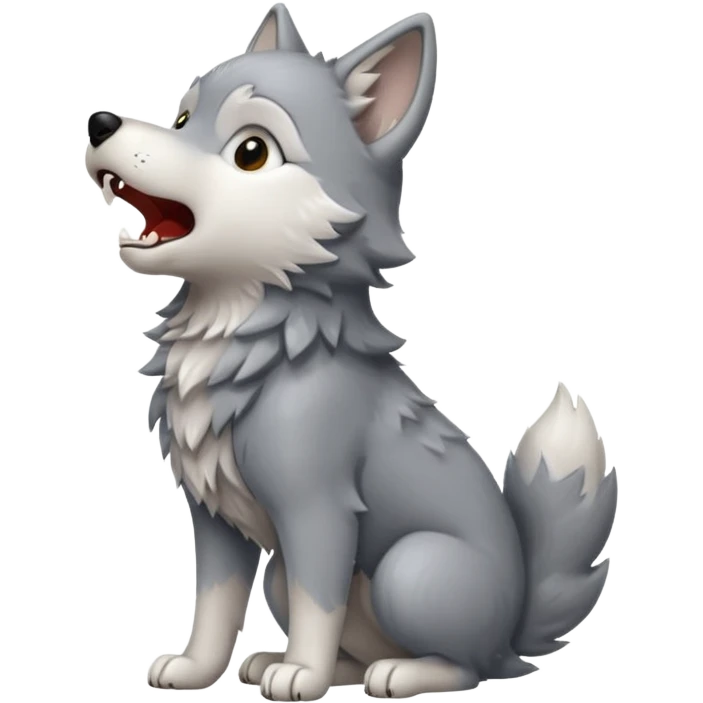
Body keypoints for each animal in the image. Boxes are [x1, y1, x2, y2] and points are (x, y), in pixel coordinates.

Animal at [84, 4, 618, 699]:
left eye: (251, 151)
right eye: (181, 118)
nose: (100, 122)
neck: (243, 342)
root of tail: (513, 622)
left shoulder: (318, 508)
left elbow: (321, 602)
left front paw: (302, 676)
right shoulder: (214, 517)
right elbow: (216, 604)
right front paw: (198, 668)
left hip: (410, 568)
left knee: (463, 665)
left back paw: (398, 672)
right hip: (286, 577)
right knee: (354, 644)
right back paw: (289, 663)